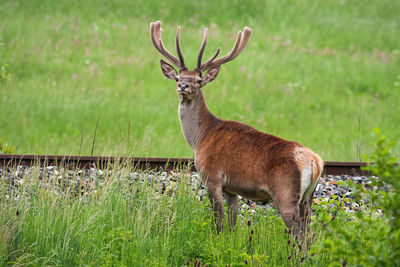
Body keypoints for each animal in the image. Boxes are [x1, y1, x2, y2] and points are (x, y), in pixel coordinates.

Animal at [148, 21, 324, 237]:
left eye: (198, 80)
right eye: (178, 77)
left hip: (286, 193)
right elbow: (231, 224)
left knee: (298, 235)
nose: (183, 86)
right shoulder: (232, 189)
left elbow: (219, 221)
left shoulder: (212, 177)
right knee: (309, 234)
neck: (200, 138)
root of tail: (315, 161)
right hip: (308, 196)